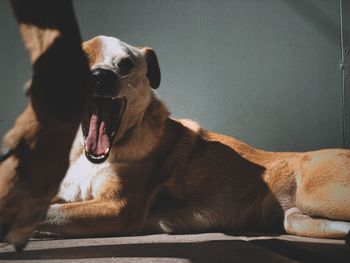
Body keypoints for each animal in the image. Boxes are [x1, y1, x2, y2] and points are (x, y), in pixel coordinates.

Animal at [37, 35, 350, 239]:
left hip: (318, 196)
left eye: (125, 63)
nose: (100, 76)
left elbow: (48, 212)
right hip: (297, 218)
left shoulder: (117, 207)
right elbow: (49, 206)